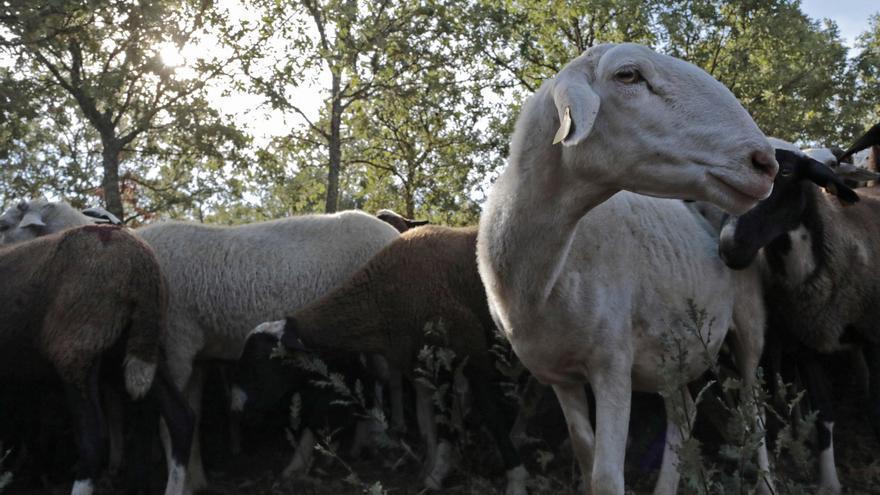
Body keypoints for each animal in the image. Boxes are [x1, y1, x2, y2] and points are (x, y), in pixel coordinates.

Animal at [474, 43, 776, 495]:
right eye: (628, 75)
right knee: (683, 415)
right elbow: (584, 454)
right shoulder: (560, 374)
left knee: (752, 412)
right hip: (669, 355)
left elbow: (605, 476)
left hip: (750, 323)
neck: (541, 278)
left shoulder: (612, 361)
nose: (765, 162)